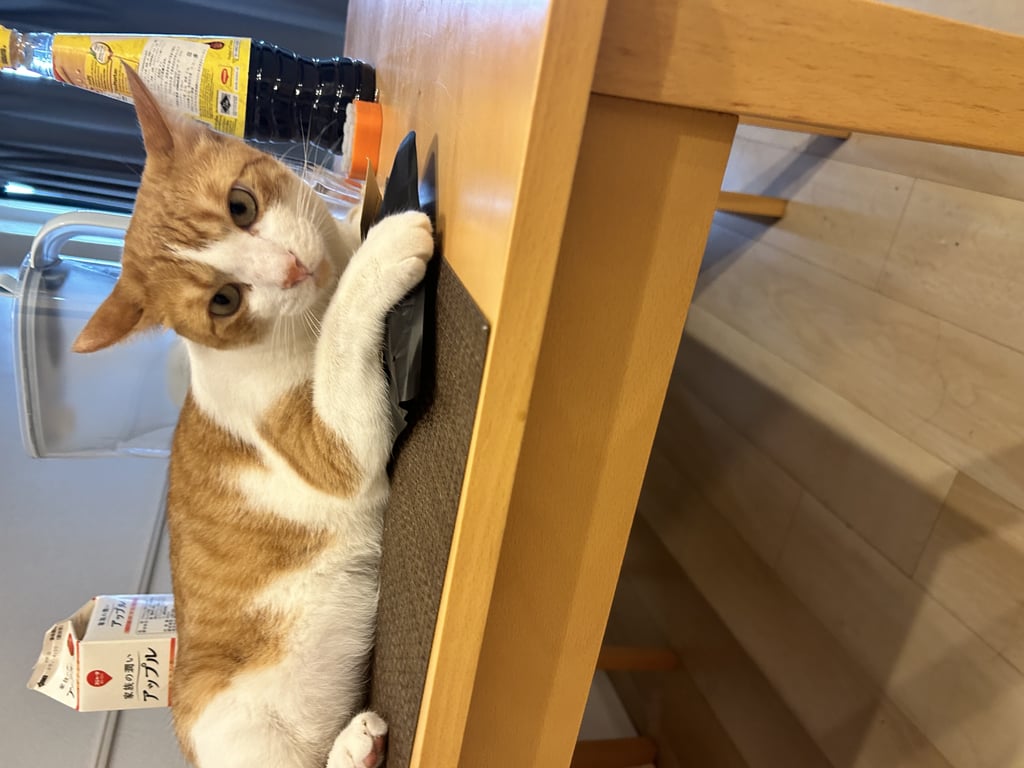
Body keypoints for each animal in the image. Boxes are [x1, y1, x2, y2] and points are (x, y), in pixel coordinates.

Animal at [73, 65, 433, 768]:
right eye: (224, 301)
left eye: (241, 207)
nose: (291, 270)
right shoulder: (332, 450)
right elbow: (341, 330)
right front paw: (381, 248)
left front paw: (357, 222)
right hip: (237, 729)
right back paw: (354, 749)